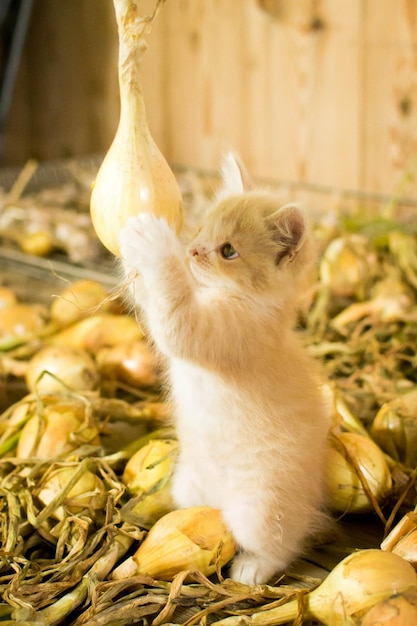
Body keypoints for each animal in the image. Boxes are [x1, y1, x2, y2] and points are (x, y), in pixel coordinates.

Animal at [118, 154, 330, 584]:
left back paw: (251, 570)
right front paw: (130, 240)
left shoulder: (207, 331)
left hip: (259, 511)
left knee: (281, 544)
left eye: (228, 251)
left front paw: (153, 243)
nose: (192, 250)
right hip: (188, 484)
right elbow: (149, 297)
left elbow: (172, 300)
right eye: (201, 229)